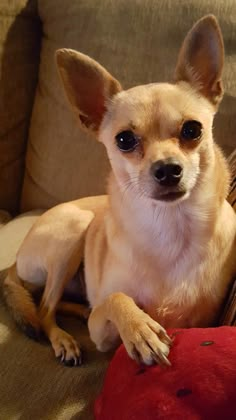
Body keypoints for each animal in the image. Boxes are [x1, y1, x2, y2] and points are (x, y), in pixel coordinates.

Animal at [2, 14, 235, 366]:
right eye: (124, 140)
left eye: (192, 130)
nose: (167, 169)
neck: (170, 225)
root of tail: (13, 264)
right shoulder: (101, 330)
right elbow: (117, 298)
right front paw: (140, 329)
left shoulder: (202, 319)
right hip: (71, 234)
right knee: (44, 309)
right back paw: (64, 340)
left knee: (53, 302)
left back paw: (79, 311)